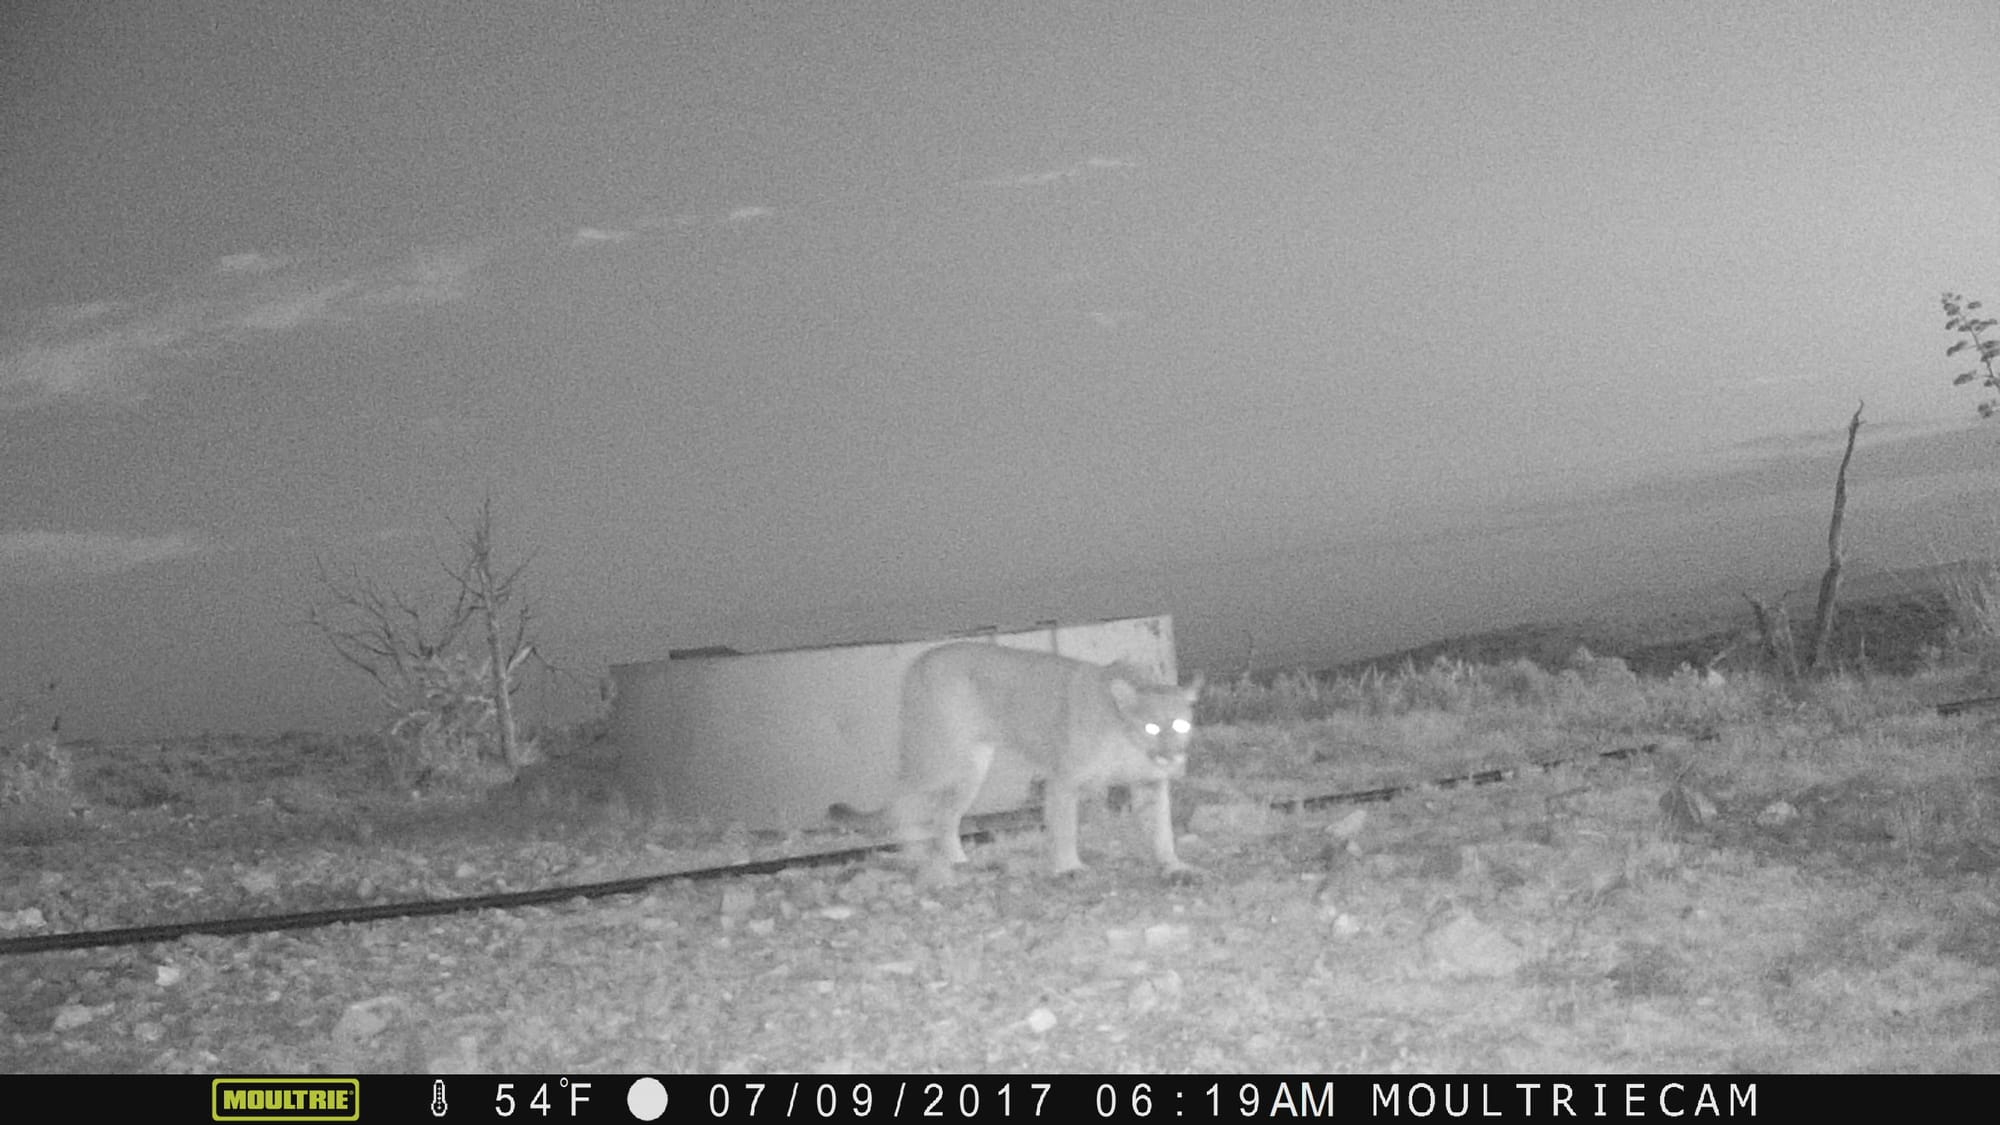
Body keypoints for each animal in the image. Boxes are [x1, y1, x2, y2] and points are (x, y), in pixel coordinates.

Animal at [832, 640, 1200, 876]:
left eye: (1181, 724)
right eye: (1151, 727)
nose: (1171, 755)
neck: (1127, 740)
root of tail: (919, 661)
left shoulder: (1151, 783)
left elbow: (1162, 829)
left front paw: (1173, 864)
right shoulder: (1063, 780)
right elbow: (1065, 827)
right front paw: (1069, 867)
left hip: (972, 768)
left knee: (944, 816)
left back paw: (959, 861)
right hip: (938, 760)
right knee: (905, 802)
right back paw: (920, 860)